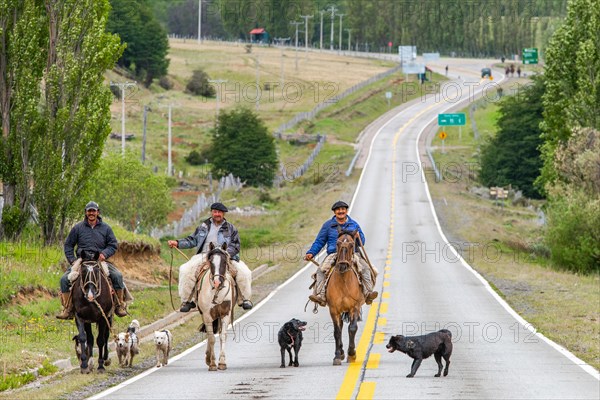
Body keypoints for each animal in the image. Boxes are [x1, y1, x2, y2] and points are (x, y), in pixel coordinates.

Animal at [195, 241, 237, 372]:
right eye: (211, 262)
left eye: (224, 261)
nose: (217, 282)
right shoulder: (207, 315)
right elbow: (212, 338)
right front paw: (213, 364)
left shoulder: (225, 314)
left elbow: (222, 336)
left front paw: (222, 363)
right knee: (210, 336)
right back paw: (208, 359)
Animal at [326, 228, 364, 366]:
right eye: (337, 243)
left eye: (352, 244)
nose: (342, 265)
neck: (343, 282)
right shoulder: (333, 309)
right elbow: (337, 331)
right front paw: (337, 356)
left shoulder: (354, 307)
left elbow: (352, 328)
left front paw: (352, 354)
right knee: (341, 326)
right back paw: (341, 352)